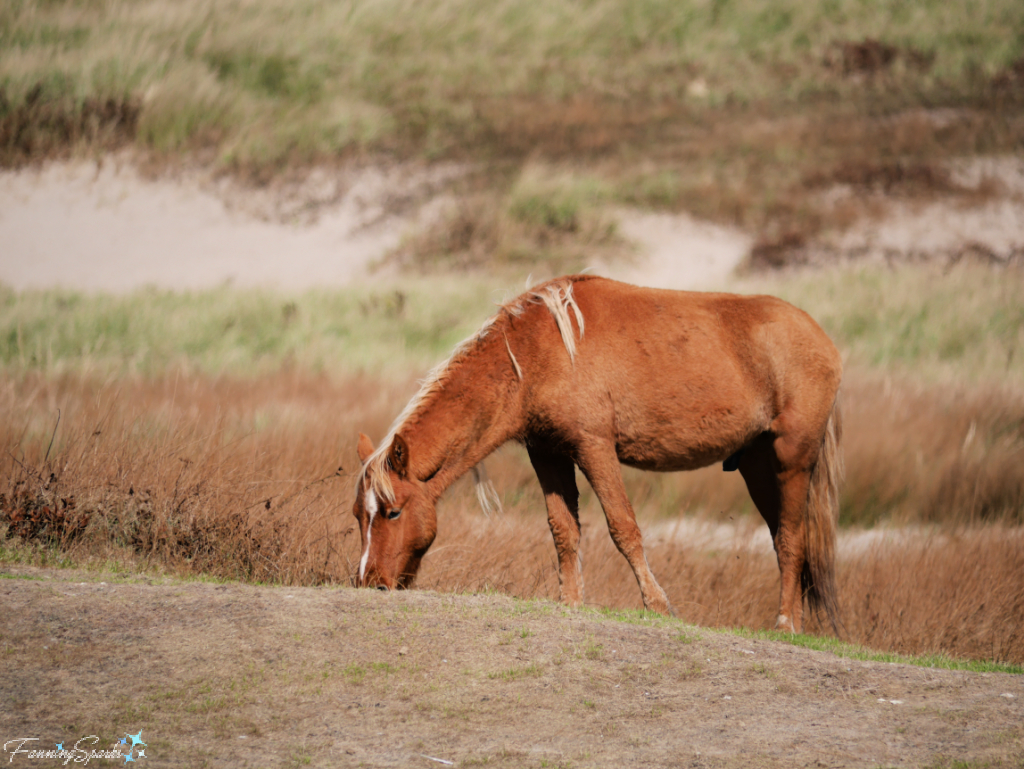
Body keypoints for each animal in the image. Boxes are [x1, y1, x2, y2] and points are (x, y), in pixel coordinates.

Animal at [352, 274, 839, 634]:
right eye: (359, 516)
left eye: (393, 513)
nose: (369, 582)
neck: (533, 351)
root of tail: (822, 338)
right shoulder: (547, 453)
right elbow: (563, 530)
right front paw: (570, 602)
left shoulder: (594, 447)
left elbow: (624, 527)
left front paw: (657, 604)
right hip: (756, 467)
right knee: (782, 538)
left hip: (792, 461)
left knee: (792, 539)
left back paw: (786, 624)